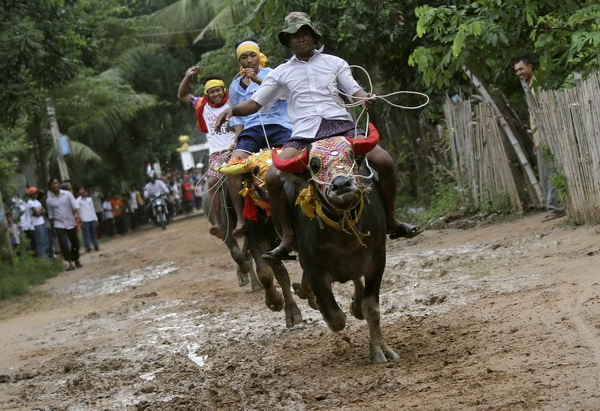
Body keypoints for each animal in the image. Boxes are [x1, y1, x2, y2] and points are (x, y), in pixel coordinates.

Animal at [272, 123, 398, 364]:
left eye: (350, 155)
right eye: (314, 164)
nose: (341, 184)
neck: (344, 239)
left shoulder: (378, 259)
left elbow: (371, 309)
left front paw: (381, 350)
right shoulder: (312, 266)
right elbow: (335, 317)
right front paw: (317, 301)